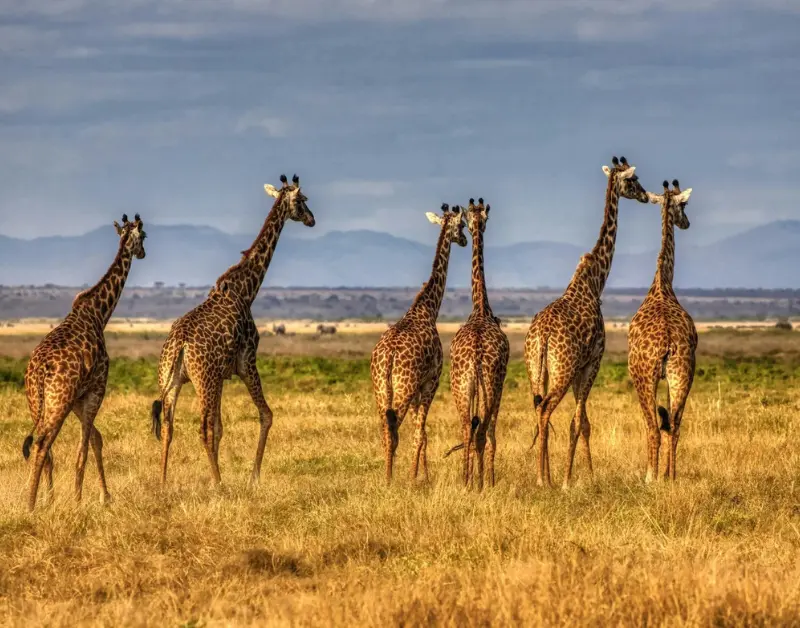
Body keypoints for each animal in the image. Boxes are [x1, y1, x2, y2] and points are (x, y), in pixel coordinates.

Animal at [21, 214, 147, 511]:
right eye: (145, 236)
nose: (143, 253)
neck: (99, 314)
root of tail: (39, 371)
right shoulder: (96, 388)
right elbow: (84, 450)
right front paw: (79, 501)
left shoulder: (78, 397)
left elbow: (95, 440)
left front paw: (102, 496)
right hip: (58, 400)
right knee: (42, 444)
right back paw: (31, 505)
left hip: (37, 401)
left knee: (45, 449)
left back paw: (45, 499)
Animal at [152, 174, 315, 486]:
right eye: (302, 201)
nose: (312, 219)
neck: (246, 290)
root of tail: (179, 345)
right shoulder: (246, 361)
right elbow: (266, 415)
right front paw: (253, 478)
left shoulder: (222, 375)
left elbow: (221, 428)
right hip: (203, 379)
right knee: (202, 428)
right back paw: (219, 484)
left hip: (172, 379)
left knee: (168, 426)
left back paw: (164, 482)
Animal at [370, 203, 467, 483]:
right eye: (462, 225)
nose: (465, 240)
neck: (427, 309)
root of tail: (389, 356)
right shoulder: (430, 382)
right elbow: (420, 434)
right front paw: (417, 478)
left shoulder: (417, 389)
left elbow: (421, 434)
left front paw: (423, 475)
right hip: (403, 387)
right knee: (394, 432)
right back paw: (391, 479)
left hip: (381, 389)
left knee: (385, 431)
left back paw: (388, 476)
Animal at [524, 156, 649, 488]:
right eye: (633, 180)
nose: (646, 196)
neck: (595, 281)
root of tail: (542, 336)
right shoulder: (593, 360)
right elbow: (580, 422)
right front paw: (577, 479)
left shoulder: (580, 366)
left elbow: (582, 422)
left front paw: (581, 475)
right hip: (563, 370)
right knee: (546, 411)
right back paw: (544, 480)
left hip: (537, 370)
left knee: (539, 410)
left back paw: (544, 477)